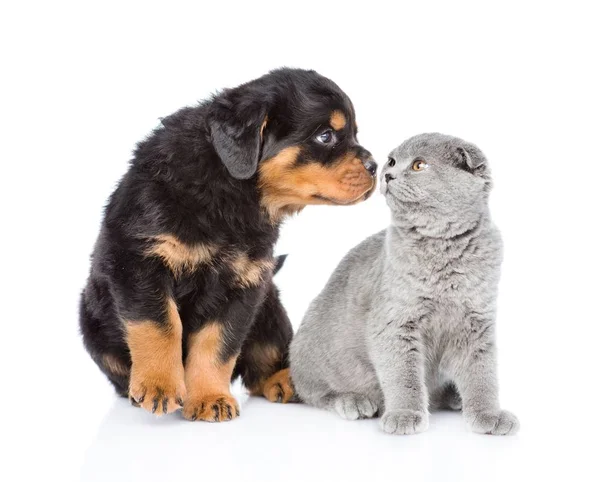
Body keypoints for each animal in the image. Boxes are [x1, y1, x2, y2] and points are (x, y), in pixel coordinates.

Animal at [79, 68, 376, 422]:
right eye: (326, 136)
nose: (376, 166)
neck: (229, 188)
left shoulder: (244, 283)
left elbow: (217, 344)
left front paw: (210, 398)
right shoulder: (139, 261)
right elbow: (160, 326)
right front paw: (159, 386)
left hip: (270, 307)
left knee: (264, 361)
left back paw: (289, 381)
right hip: (93, 324)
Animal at [288, 133, 516, 436]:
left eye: (419, 165)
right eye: (393, 161)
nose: (387, 174)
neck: (443, 247)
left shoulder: (477, 324)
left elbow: (483, 375)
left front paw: (488, 414)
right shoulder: (394, 324)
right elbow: (403, 376)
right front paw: (405, 414)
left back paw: (455, 397)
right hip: (311, 349)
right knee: (316, 392)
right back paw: (353, 401)